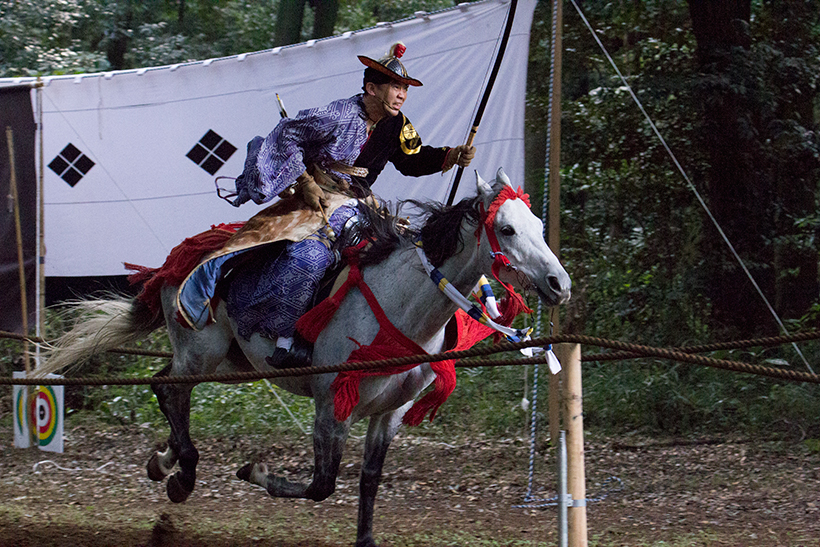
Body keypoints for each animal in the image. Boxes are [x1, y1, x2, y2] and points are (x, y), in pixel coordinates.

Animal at [36, 169, 572, 547]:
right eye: (506, 229)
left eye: (537, 225)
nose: (559, 284)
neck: (401, 306)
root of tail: (175, 262)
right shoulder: (331, 405)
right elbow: (321, 484)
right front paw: (254, 473)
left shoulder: (390, 413)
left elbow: (369, 482)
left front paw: (365, 540)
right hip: (201, 350)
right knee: (171, 390)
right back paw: (182, 474)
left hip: (227, 362)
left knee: (164, 386)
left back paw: (162, 462)